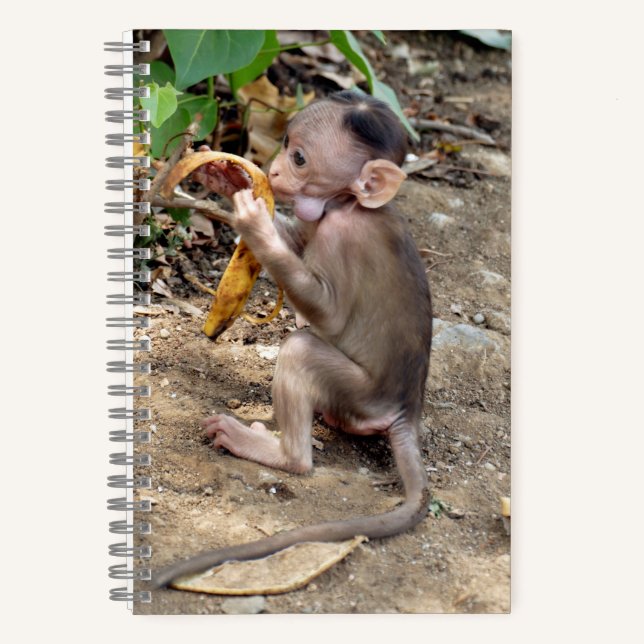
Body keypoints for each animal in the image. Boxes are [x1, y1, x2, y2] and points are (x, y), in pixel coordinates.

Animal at [152, 90, 433, 588]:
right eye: (284, 145)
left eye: (300, 158)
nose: (276, 170)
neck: (348, 205)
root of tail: (405, 409)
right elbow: (298, 241)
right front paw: (225, 176)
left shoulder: (342, 235)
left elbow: (329, 313)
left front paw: (254, 224)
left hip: (361, 396)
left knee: (301, 349)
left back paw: (279, 453)